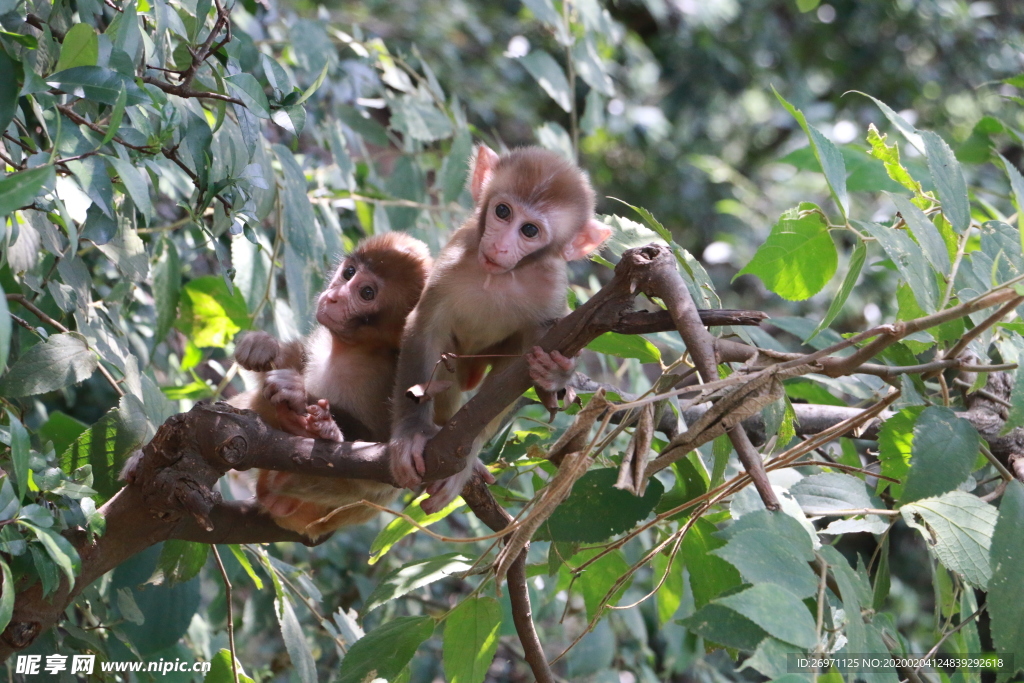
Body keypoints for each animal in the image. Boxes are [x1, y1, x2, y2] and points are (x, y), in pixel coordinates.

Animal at [232, 233, 432, 540]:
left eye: (367, 293)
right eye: (349, 272)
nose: (334, 297)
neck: (353, 349)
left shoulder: (402, 368)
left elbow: (387, 473)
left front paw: (312, 410)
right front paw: (263, 346)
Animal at [385, 145, 606, 511]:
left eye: (529, 231)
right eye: (503, 211)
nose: (501, 245)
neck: (498, 278)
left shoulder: (550, 289)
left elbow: (524, 364)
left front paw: (557, 374)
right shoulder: (453, 261)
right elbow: (424, 330)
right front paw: (412, 434)